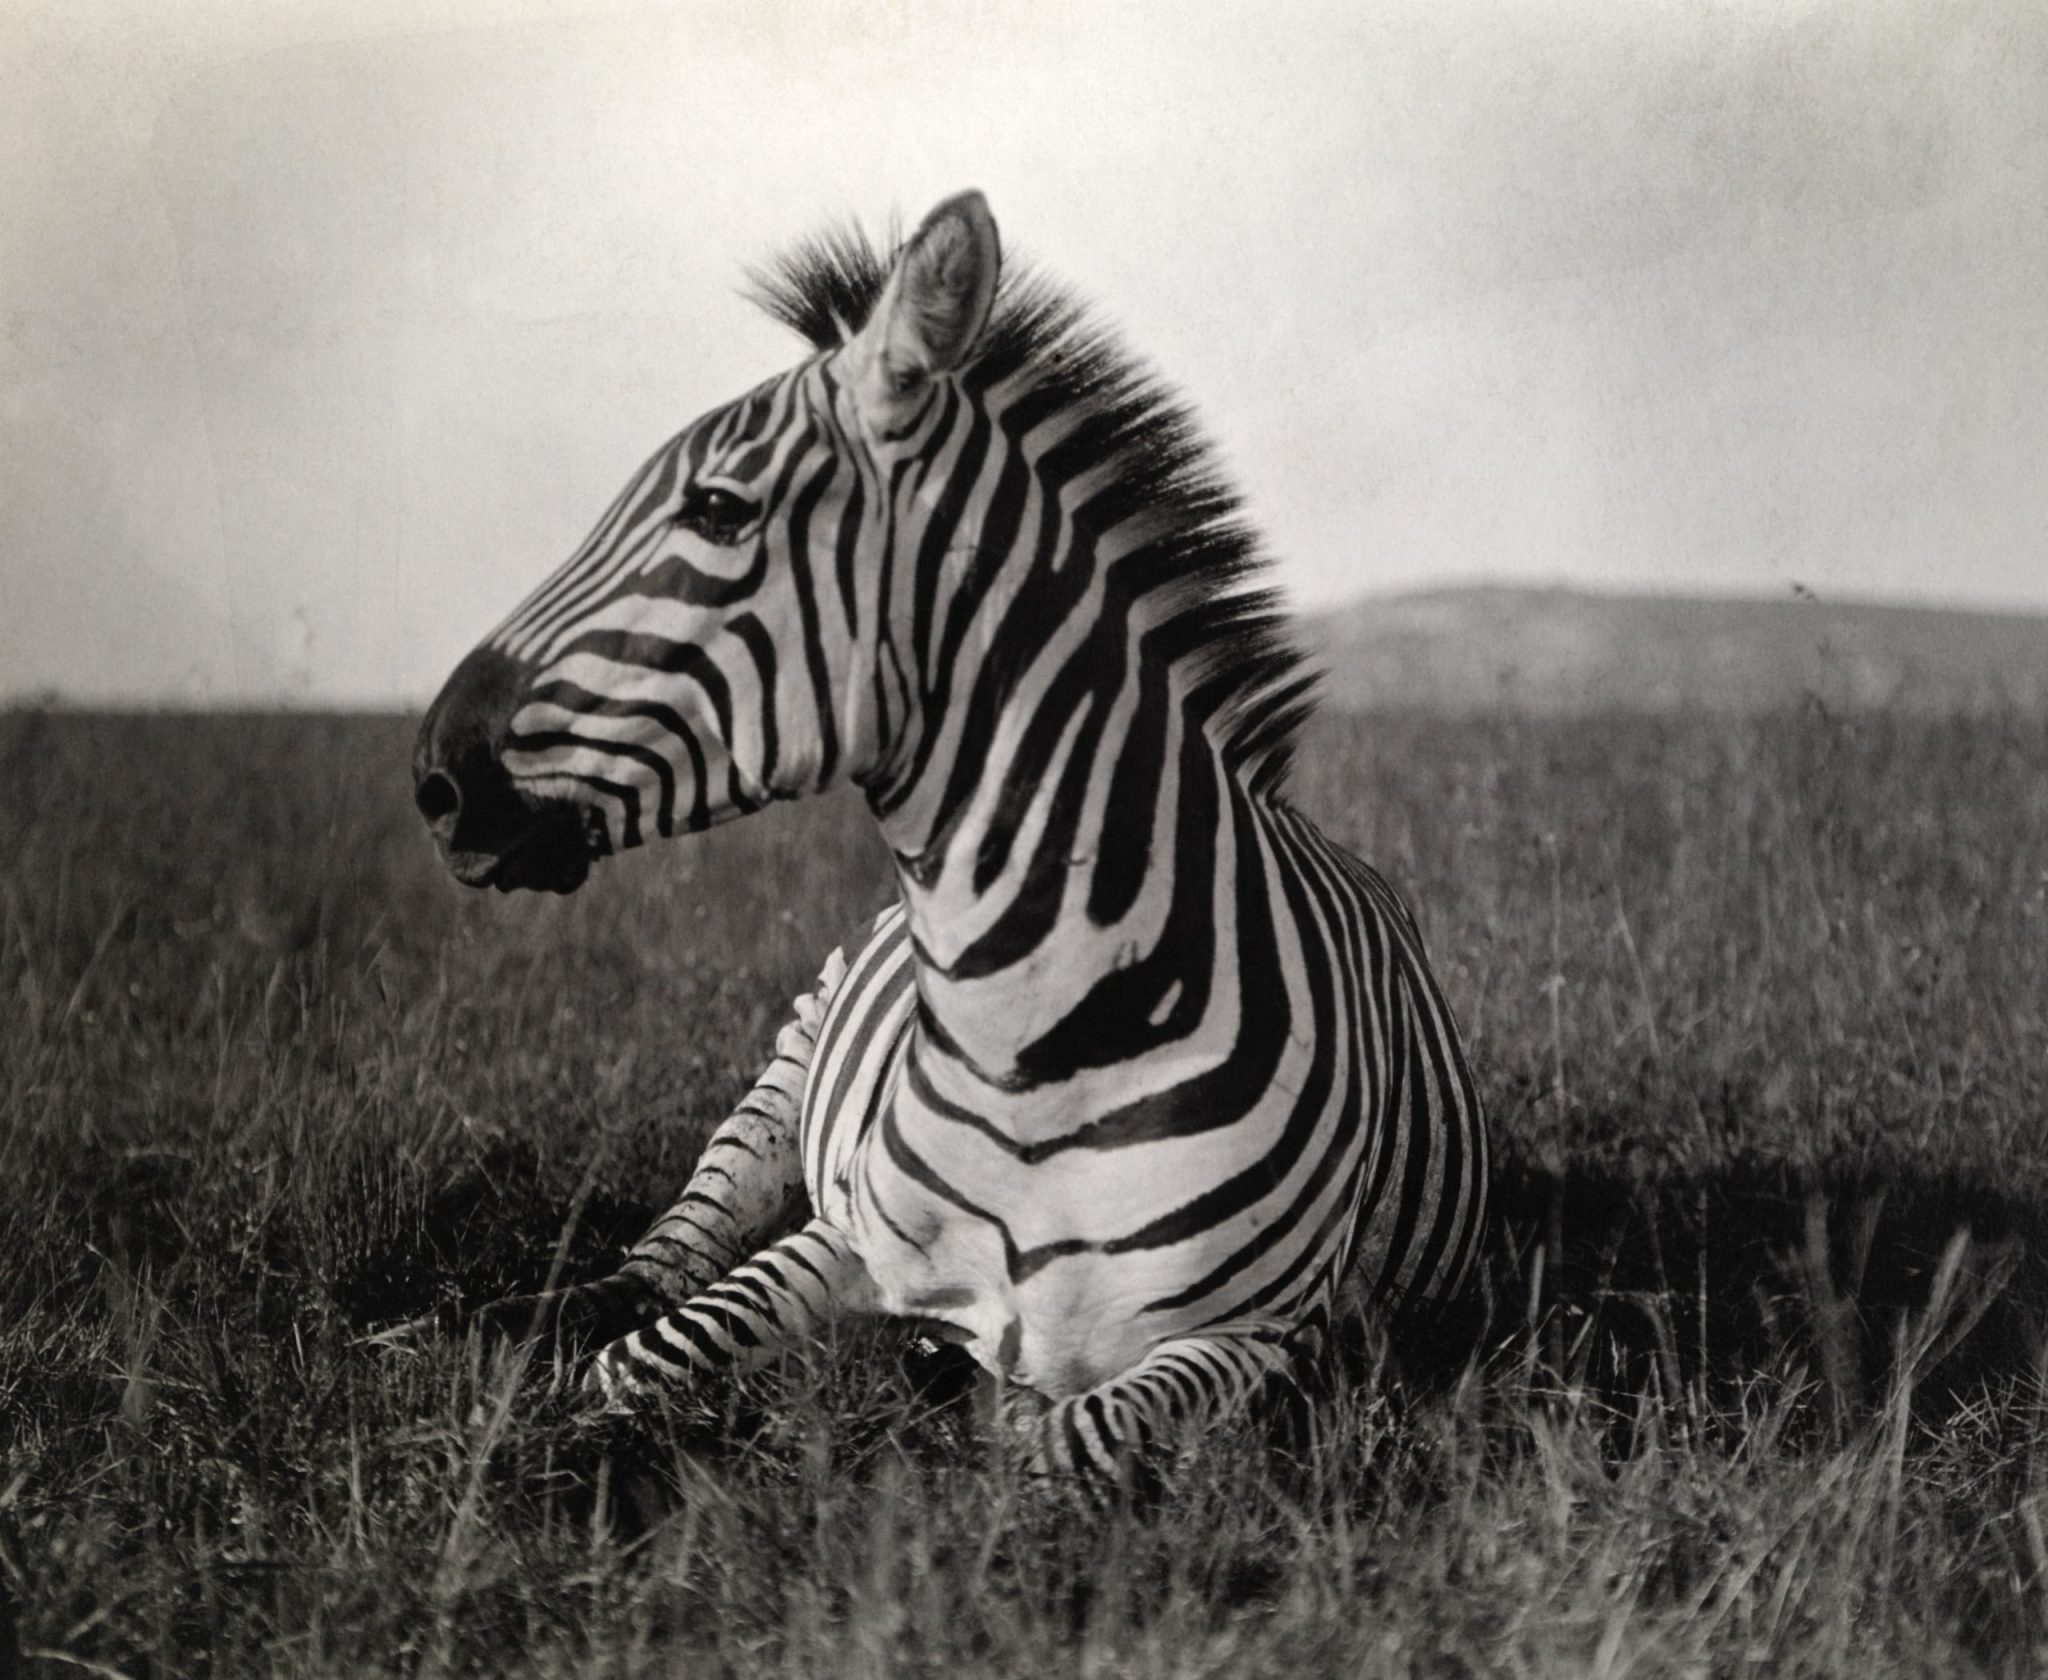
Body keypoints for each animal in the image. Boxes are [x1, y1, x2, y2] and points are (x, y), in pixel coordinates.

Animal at [411, 193, 1490, 1483]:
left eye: (717, 509)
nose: (433, 780)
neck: (1035, 1046)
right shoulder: (847, 1237)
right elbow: (646, 1356)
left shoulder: (1265, 1335)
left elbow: (1062, 1437)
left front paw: (967, 1406)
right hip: (789, 1059)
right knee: (664, 1252)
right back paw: (504, 1316)